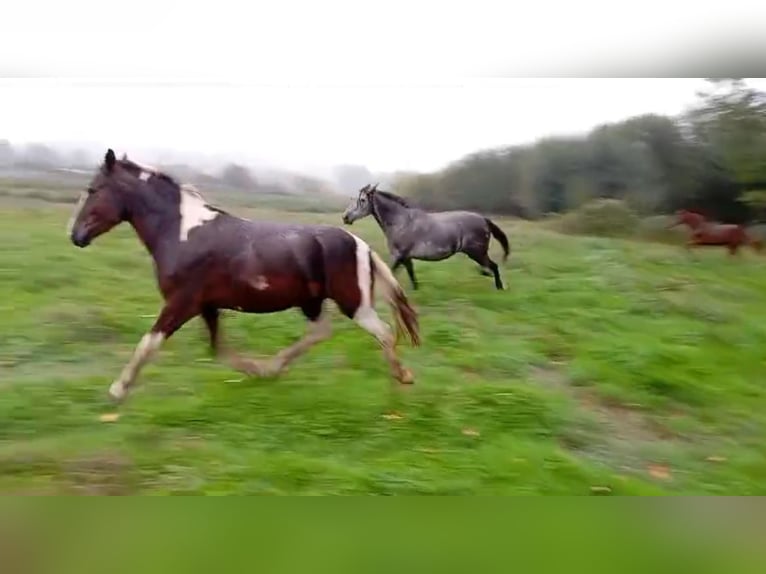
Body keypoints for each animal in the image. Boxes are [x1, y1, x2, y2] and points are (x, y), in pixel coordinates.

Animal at [69, 151, 424, 408]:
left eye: (93, 189)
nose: (76, 236)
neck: (182, 233)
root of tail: (361, 244)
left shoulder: (181, 303)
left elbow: (149, 343)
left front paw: (117, 390)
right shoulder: (207, 306)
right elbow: (218, 349)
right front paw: (254, 370)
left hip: (354, 303)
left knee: (384, 332)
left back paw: (401, 382)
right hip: (312, 302)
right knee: (321, 332)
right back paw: (273, 368)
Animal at [340, 184, 510, 290]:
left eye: (362, 200)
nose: (345, 217)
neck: (400, 222)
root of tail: (484, 219)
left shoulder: (398, 256)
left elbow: (390, 274)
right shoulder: (406, 257)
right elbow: (411, 275)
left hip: (477, 252)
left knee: (493, 266)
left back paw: (499, 287)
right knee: (490, 267)